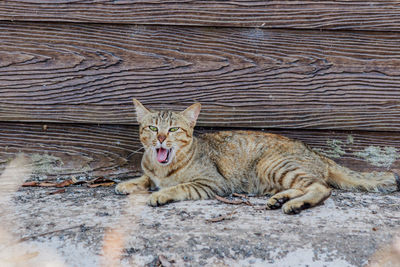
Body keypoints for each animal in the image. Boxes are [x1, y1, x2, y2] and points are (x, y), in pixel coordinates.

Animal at [115, 99, 400, 215]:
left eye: (174, 129)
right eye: (153, 128)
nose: (162, 138)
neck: (162, 168)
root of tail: (317, 153)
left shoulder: (213, 184)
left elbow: (179, 187)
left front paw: (161, 194)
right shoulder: (152, 172)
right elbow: (145, 178)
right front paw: (128, 184)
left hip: (271, 164)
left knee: (322, 187)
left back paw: (295, 204)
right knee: (307, 185)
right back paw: (281, 199)